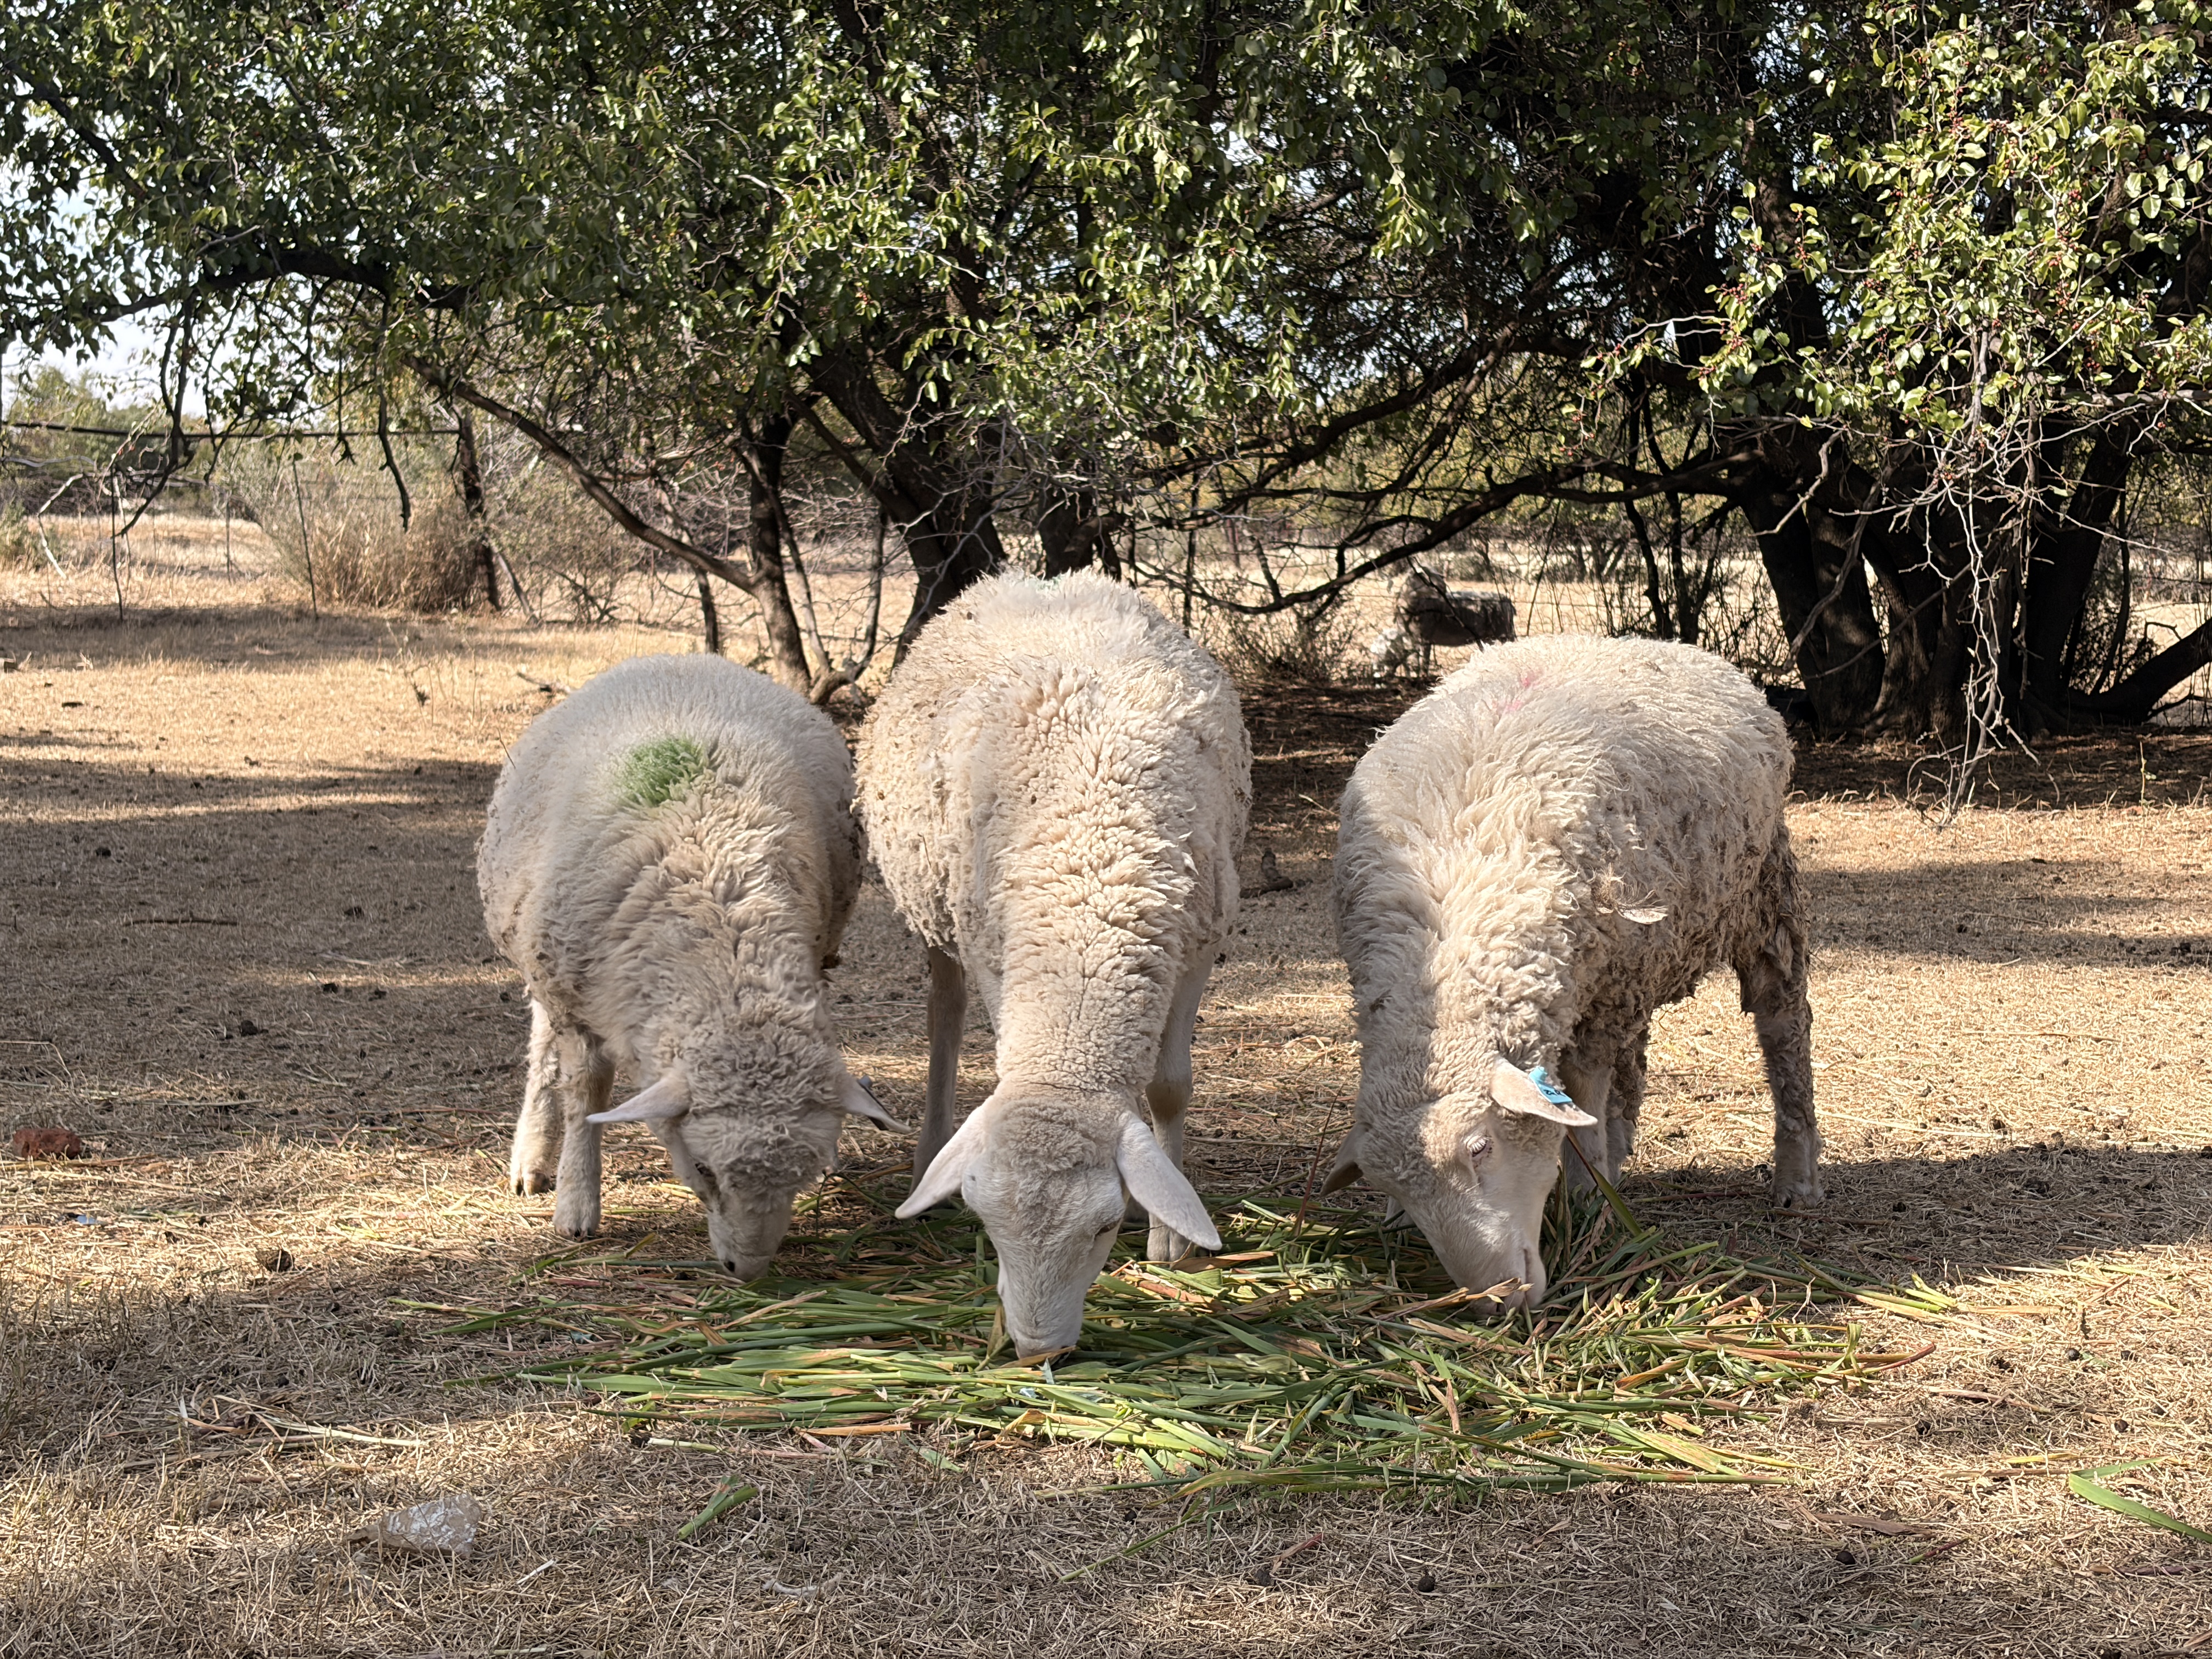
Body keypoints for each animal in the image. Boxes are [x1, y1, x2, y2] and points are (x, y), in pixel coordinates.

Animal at [478, 653, 898, 1278]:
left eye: (803, 1176)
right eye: (702, 1168)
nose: (747, 1271)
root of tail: (681, 657)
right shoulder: (578, 999)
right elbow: (586, 1097)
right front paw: (577, 1204)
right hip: (545, 962)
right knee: (543, 1046)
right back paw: (532, 1158)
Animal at [859, 571, 1251, 1356]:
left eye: (1103, 1227)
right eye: (988, 1225)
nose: (1040, 1352)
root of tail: (1031, 578)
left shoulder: (1195, 942)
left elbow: (1169, 1088)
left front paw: (1168, 1238)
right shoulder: (992, 945)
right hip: (935, 903)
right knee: (943, 1018)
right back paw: (930, 1151)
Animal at [1328, 634, 1819, 1308]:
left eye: (1480, 1147)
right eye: (1394, 1185)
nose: (1496, 1299)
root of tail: (1636, 640)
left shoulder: (1604, 993)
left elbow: (1585, 1086)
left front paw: (1590, 1201)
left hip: (1756, 899)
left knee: (1783, 1027)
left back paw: (1796, 1177)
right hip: (1637, 956)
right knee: (1633, 1063)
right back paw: (1622, 1145)